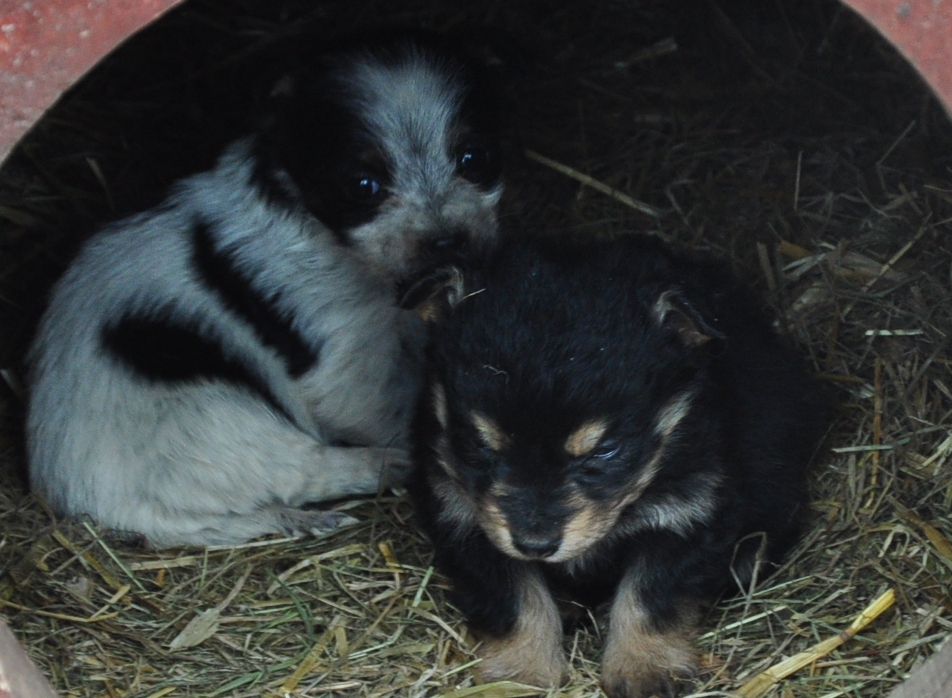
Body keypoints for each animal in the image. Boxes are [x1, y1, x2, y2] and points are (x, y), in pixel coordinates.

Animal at [26, 31, 505, 547]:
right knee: (302, 470)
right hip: (222, 423)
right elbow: (392, 408)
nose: (446, 241)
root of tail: (94, 503)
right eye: (363, 186)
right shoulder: (345, 359)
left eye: (474, 158)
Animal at [410, 236, 831, 697]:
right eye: (479, 442)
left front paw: (645, 668)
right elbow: (516, 601)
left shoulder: (690, 514)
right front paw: (520, 675)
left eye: (605, 450)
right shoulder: (466, 520)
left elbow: (650, 596)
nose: (535, 544)